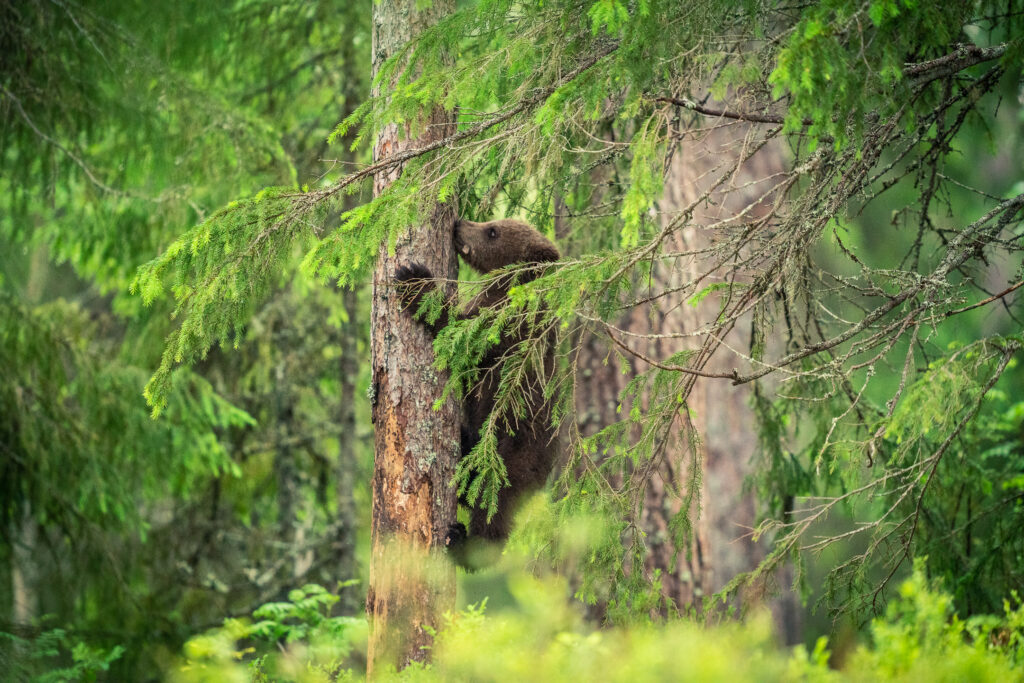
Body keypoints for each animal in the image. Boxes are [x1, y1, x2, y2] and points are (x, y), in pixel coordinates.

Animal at [394, 217, 560, 565]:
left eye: (492, 231)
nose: (459, 223)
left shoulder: (505, 326)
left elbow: (462, 336)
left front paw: (415, 279)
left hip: (514, 451)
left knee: (493, 505)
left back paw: (463, 543)